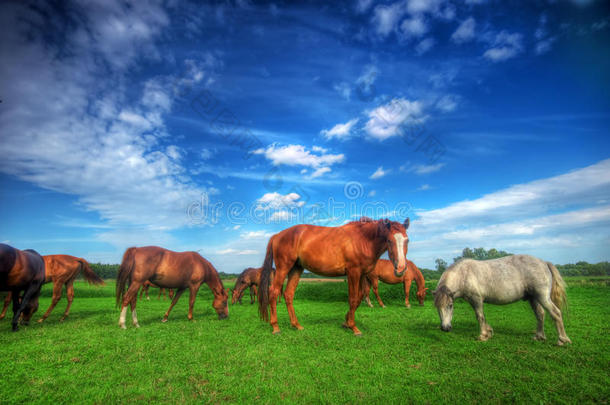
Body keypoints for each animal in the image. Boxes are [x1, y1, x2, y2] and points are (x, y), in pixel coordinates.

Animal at [258, 218, 408, 334]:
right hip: (283, 268)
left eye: (407, 240)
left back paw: (296, 325)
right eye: (389, 240)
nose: (401, 268)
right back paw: (275, 327)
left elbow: (359, 298)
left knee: (288, 294)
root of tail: (277, 235)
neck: (362, 240)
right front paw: (353, 327)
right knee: (273, 292)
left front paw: (346, 322)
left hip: (296, 268)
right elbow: (353, 298)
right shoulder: (353, 273)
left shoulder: (361, 275)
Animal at [432, 252, 568, 344]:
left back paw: (562, 340)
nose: (445, 328)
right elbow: (482, 316)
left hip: (542, 297)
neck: (464, 274)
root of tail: (544, 263)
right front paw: (489, 331)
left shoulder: (476, 299)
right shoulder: (473, 300)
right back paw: (539, 336)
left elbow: (479, 316)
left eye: (450, 305)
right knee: (540, 314)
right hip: (533, 298)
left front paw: (483, 335)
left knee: (555, 313)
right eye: (437, 307)